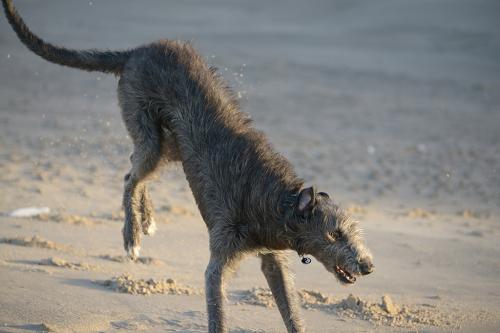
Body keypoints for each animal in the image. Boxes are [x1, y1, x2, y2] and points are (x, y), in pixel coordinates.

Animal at [1, 1, 374, 330]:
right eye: (334, 234)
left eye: (355, 232)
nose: (368, 265)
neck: (273, 198)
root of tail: (136, 51)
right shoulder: (222, 253)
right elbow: (216, 305)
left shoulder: (272, 257)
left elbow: (290, 309)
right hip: (146, 125)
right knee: (131, 176)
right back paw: (132, 235)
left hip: (173, 146)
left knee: (134, 171)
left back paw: (146, 220)